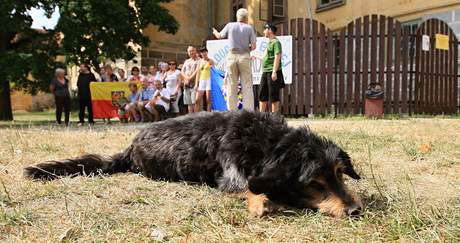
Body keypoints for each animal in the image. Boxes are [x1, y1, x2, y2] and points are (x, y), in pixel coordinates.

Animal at [24, 111, 362, 217]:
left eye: (339, 174)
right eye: (314, 183)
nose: (356, 210)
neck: (266, 142)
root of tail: (129, 148)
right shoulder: (231, 175)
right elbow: (248, 187)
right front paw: (260, 202)